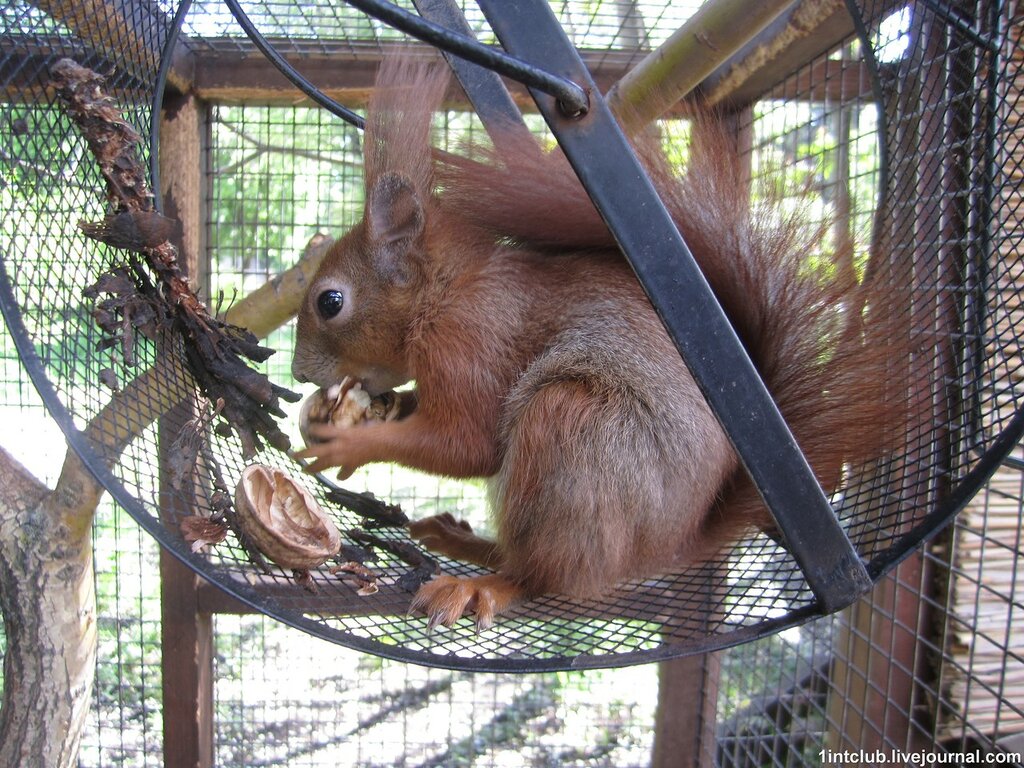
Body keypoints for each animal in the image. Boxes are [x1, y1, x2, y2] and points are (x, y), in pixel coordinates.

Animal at [290, 57, 905, 626]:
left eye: (330, 302)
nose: (297, 373)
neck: (448, 292)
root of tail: (674, 544)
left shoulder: (471, 340)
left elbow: (468, 442)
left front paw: (349, 445)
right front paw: (386, 407)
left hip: (574, 430)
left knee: (548, 576)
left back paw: (484, 582)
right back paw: (462, 541)